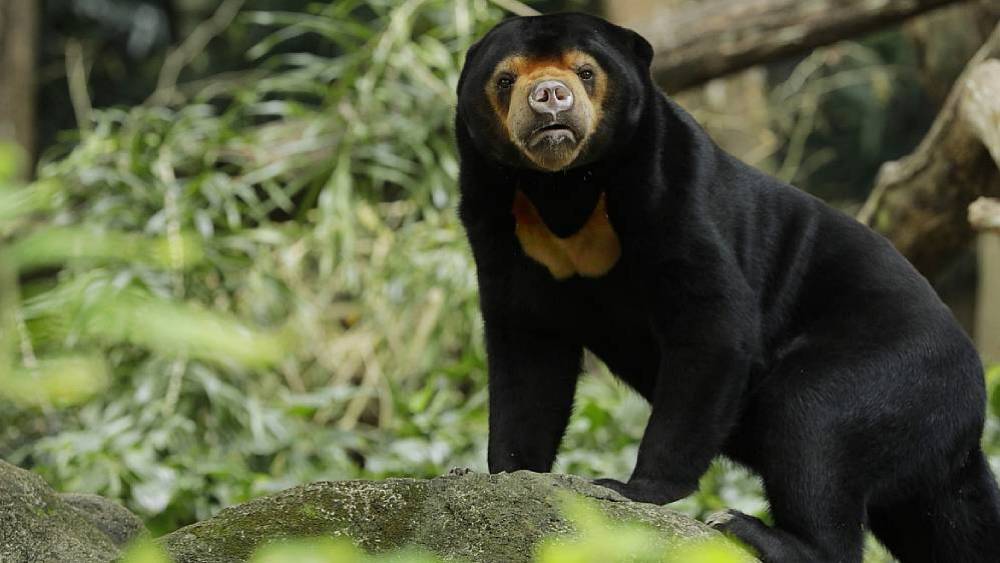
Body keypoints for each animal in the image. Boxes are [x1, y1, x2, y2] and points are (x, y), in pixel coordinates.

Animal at [454, 12, 1000, 563]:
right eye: (506, 79)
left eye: (586, 72)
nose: (550, 97)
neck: (563, 188)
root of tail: (969, 418)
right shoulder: (497, 228)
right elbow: (528, 352)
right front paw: (506, 474)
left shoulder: (673, 194)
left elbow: (712, 325)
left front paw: (630, 489)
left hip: (892, 369)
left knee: (814, 418)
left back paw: (750, 528)